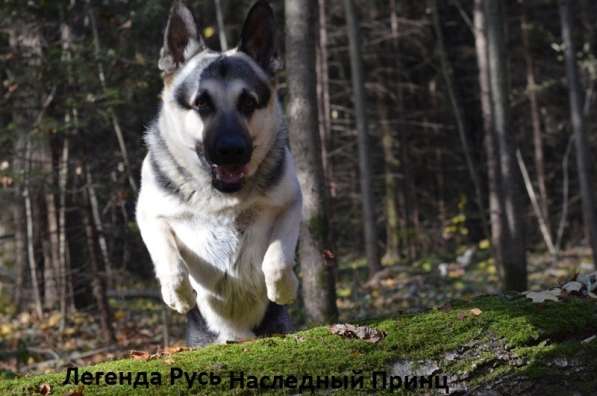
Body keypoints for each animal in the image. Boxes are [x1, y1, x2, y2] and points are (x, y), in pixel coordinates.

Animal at [136, 0, 302, 346]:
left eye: (249, 103)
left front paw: (283, 288)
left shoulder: (291, 203)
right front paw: (179, 294)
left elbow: (278, 256)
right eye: (201, 103)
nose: (231, 150)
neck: (221, 197)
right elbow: (169, 258)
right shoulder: (149, 215)